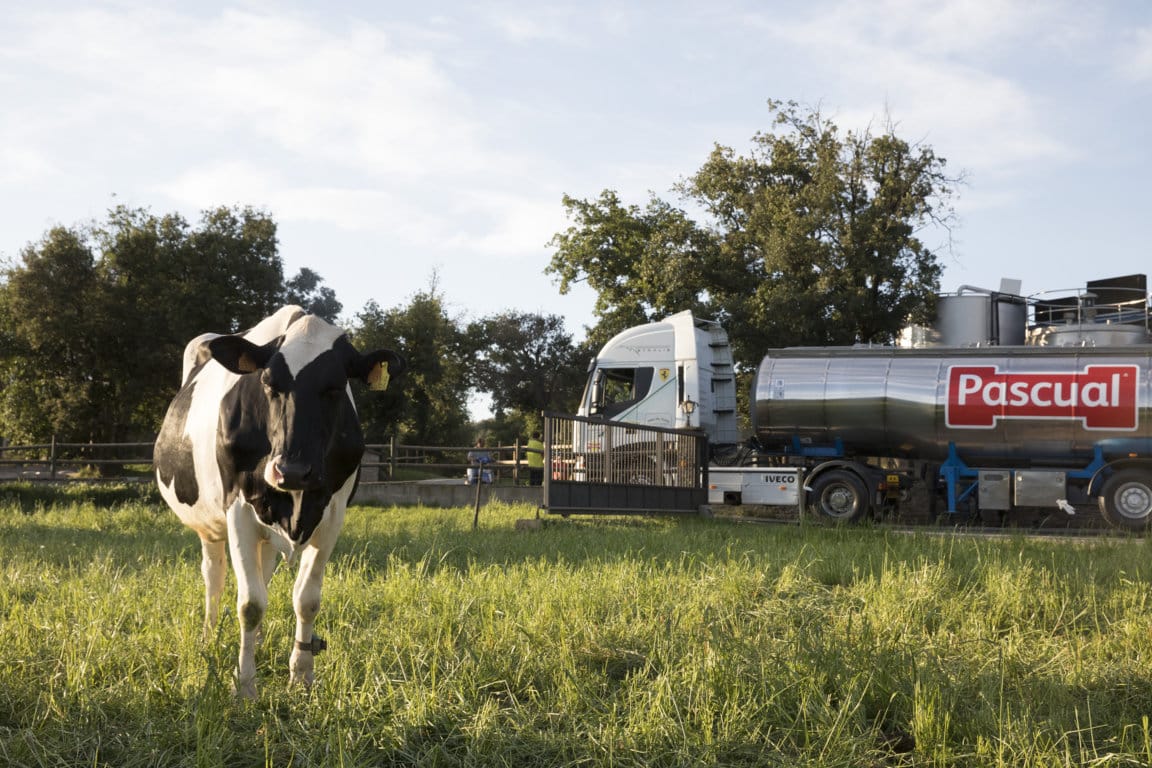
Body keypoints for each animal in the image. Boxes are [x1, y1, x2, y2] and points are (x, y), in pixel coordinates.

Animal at [153, 303, 405, 695]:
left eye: (335, 388)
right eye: (269, 384)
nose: (292, 470)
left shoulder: (332, 514)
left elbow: (307, 600)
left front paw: (301, 676)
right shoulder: (238, 509)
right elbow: (250, 604)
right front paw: (244, 685)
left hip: (266, 532)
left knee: (263, 571)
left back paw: (254, 642)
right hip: (210, 525)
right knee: (215, 576)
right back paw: (209, 638)